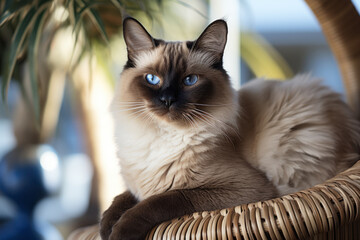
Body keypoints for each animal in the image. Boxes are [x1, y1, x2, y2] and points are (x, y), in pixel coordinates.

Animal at [99, 17, 360, 240]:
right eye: (152, 79)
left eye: (189, 80)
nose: (167, 100)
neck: (162, 138)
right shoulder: (135, 186)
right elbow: (120, 200)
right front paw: (105, 228)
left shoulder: (241, 190)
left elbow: (162, 200)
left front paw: (119, 232)